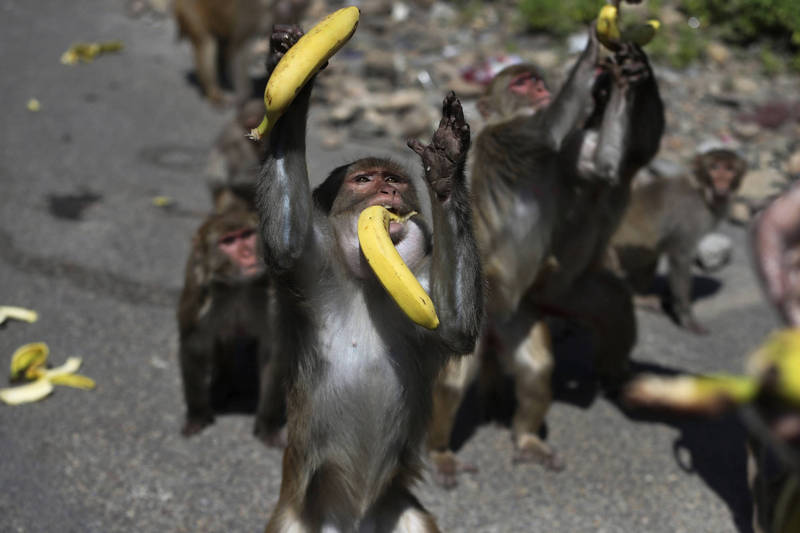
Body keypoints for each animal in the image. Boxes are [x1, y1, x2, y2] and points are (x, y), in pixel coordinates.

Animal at [173, 0, 308, 105]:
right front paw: (243, 96)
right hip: (190, 10)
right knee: (206, 43)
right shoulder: (253, 12)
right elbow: (237, 50)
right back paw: (215, 94)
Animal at [177, 187, 286, 444]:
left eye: (246, 236)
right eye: (228, 241)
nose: (247, 254)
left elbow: (273, 353)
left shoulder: (271, 300)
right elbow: (194, 347)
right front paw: (198, 415)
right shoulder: (201, 300)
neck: (238, 287)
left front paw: (267, 424)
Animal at [258, 26, 482, 532]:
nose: (387, 191)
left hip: (394, 512)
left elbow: (456, 328)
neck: (369, 284)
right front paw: (293, 74)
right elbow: (285, 242)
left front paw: (445, 170)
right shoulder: (313, 265)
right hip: (300, 517)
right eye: (364, 180)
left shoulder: (419, 287)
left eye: (395, 181)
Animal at [428, 23, 664, 482]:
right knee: (451, 380)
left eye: (538, 80)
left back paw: (528, 440)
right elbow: (552, 127)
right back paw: (438, 451)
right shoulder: (518, 133)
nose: (540, 89)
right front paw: (593, 51)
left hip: (519, 314)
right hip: (473, 320)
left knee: (538, 370)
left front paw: (629, 71)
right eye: (522, 83)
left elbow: (607, 165)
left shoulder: (571, 152)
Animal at [608, 148, 748, 334]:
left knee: (650, 256)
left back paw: (637, 299)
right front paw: (686, 317)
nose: (722, 182)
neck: (702, 192)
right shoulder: (688, 217)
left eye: (730, 169)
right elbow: (680, 258)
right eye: (714, 167)